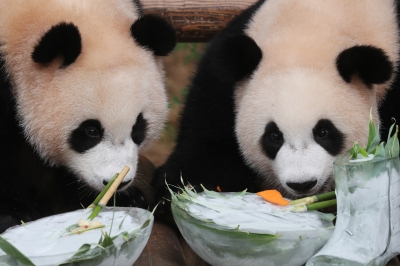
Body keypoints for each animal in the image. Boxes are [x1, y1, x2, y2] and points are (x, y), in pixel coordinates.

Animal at [152, 0, 400, 219]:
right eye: (274, 136)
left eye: (324, 132)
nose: (303, 184)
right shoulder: (224, 86)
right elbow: (209, 143)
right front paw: (177, 192)